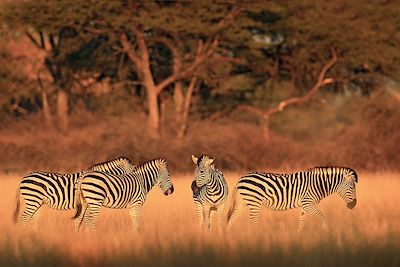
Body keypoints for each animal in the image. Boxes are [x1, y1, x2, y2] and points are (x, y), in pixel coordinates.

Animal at [227, 168, 358, 232]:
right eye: (352, 187)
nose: (353, 205)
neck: (318, 185)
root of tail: (241, 179)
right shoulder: (308, 203)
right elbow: (323, 216)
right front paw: (326, 232)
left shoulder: (305, 205)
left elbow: (302, 221)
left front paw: (298, 236)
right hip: (254, 202)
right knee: (253, 220)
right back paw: (257, 236)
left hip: (244, 202)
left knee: (232, 217)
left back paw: (227, 235)